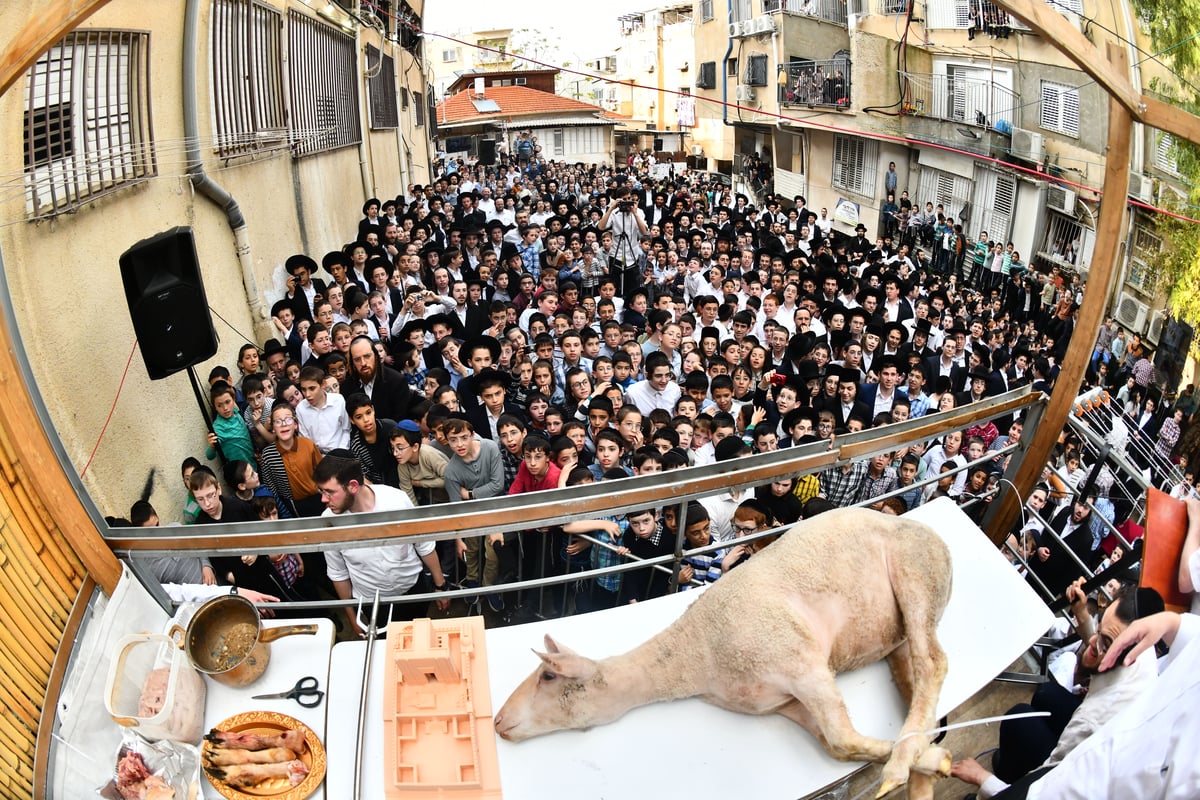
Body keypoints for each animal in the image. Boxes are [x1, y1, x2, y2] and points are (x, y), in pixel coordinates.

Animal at [492, 510, 950, 796]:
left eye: (548, 675)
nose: (497, 722)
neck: (697, 654)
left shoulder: (802, 663)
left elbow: (842, 738)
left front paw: (905, 767)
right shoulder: (777, 703)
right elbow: (837, 746)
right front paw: (933, 760)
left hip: (917, 572)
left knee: (934, 662)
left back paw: (901, 766)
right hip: (895, 632)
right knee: (915, 682)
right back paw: (919, 768)